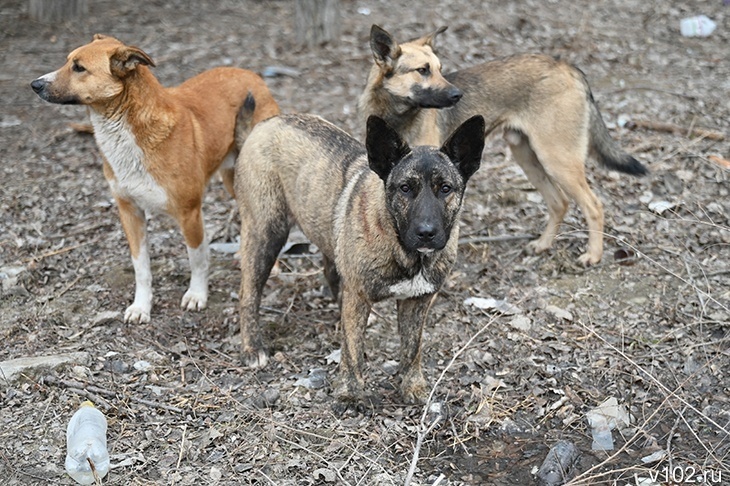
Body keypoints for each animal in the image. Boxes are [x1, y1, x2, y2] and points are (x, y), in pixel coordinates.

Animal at [30, 35, 278, 322]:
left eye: (79, 68)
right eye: (68, 61)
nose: (35, 84)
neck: (127, 129)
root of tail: (253, 75)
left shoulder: (189, 213)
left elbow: (197, 259)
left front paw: (197, 294)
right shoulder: (130, 212)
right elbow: (141, 268)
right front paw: (141, 306)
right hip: (230, 179)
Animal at [233, 106, 484, 406]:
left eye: (445, 188)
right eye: (405, 188)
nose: (426, 233)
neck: (403, 250)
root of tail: (265, 123)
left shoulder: (417, 302)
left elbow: (413, 348)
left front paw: (412, 385)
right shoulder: (358, 297)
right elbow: (353, 351)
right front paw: (352, 392)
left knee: (330, 270)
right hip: (266, 235)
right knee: (248, 295)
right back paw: (252, 347)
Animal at [356, 26, 644, 266]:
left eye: (440, 69)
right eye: (423, 70)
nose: (458, 95)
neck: (398, 115)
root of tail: (566, 65)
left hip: (556, 159)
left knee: (594, 206)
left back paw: (593, 255)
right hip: (528, 158)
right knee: (560, 202)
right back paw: (543, 244)